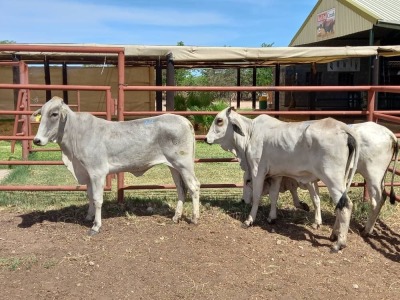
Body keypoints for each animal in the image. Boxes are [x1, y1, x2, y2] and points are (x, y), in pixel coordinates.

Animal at [32, 96, 200, 234]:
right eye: (42, 113)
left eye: (54, 114)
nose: (36, 140)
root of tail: (185, 121)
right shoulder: (87, 173)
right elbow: (90, 195)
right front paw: (89, 216)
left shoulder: (97, 172)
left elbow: (97, 199)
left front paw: (96, 226)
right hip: (173, 166)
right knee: (181, 188)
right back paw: (176, 217)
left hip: (184, 164)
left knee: (194, 186)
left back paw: (195, 218)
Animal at [206, 108, 360, 251]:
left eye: (219, 120)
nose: (205, 138)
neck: (250, 134)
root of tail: (342, 128)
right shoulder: (276, 175)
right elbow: (274, 196)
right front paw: (272, 217)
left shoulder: (257, 170)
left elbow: (257, 196)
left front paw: (249, 220)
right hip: (342, 178)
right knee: (339, 205)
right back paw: (334, 234)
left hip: (332, 179)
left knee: (346, 205)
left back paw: (339, 243)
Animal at [242, 120, 398, 236]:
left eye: (247, 180)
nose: (243, 200)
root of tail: (391, 134)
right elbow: (312, 198)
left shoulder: (306, 179)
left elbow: (310, 197)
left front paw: (250, 219)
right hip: (374, 178)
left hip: (369, 176)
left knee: (374, 201)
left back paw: (364, 230)